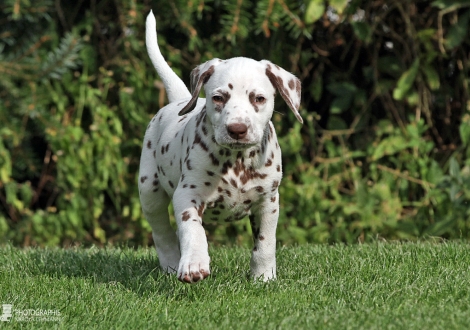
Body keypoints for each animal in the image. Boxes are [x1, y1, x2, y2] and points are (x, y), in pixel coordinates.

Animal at [138, 10, 302, 284]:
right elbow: (193, 231)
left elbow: (265, 242)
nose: (237, 129)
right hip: (149, 190)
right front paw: (194, 264)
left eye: (259, 98)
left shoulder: (268, 201)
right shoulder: (187, 194)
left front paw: (263, 277)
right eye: (218, 97)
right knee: (162, 232)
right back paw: (172, 263)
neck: (237, 160)